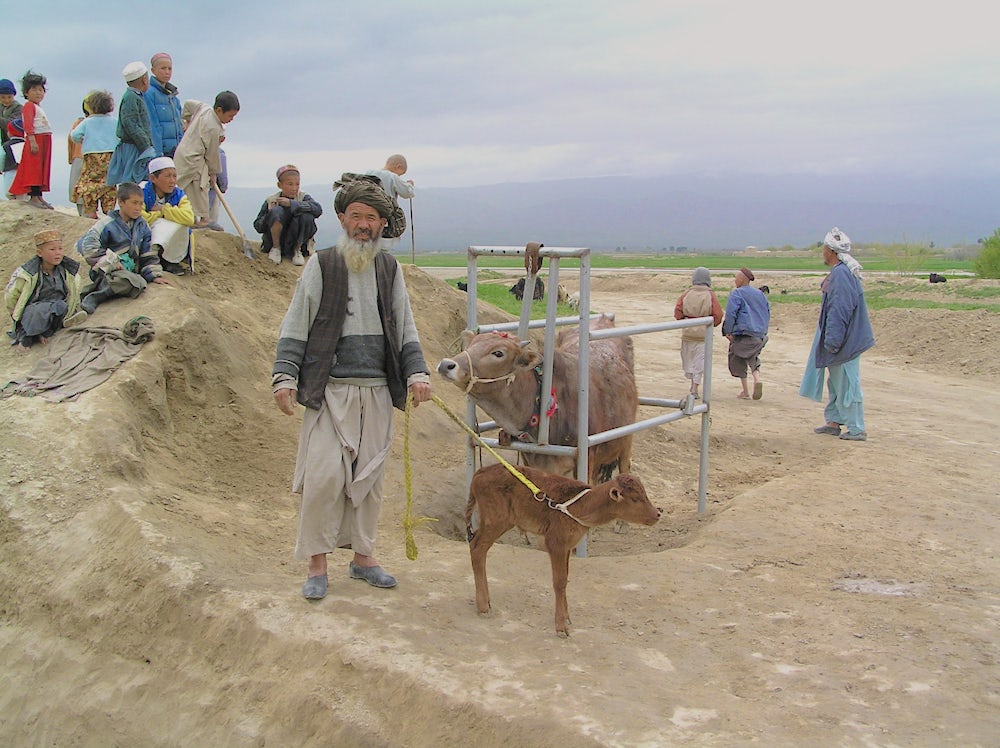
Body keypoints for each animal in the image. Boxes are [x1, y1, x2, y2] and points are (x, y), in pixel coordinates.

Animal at [468, 464, 664, 636]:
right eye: (635, 499)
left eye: (645, 494)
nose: (657, 514)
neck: (579, 508)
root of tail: (480, 472)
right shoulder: (556, 542)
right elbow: (559, 582)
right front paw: (561, 627)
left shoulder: (568, 545)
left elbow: (566, 578)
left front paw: (567, 618)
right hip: (496, 519)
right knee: (477, 547)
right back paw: (483, 606)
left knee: (476, 543)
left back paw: (486, 601)